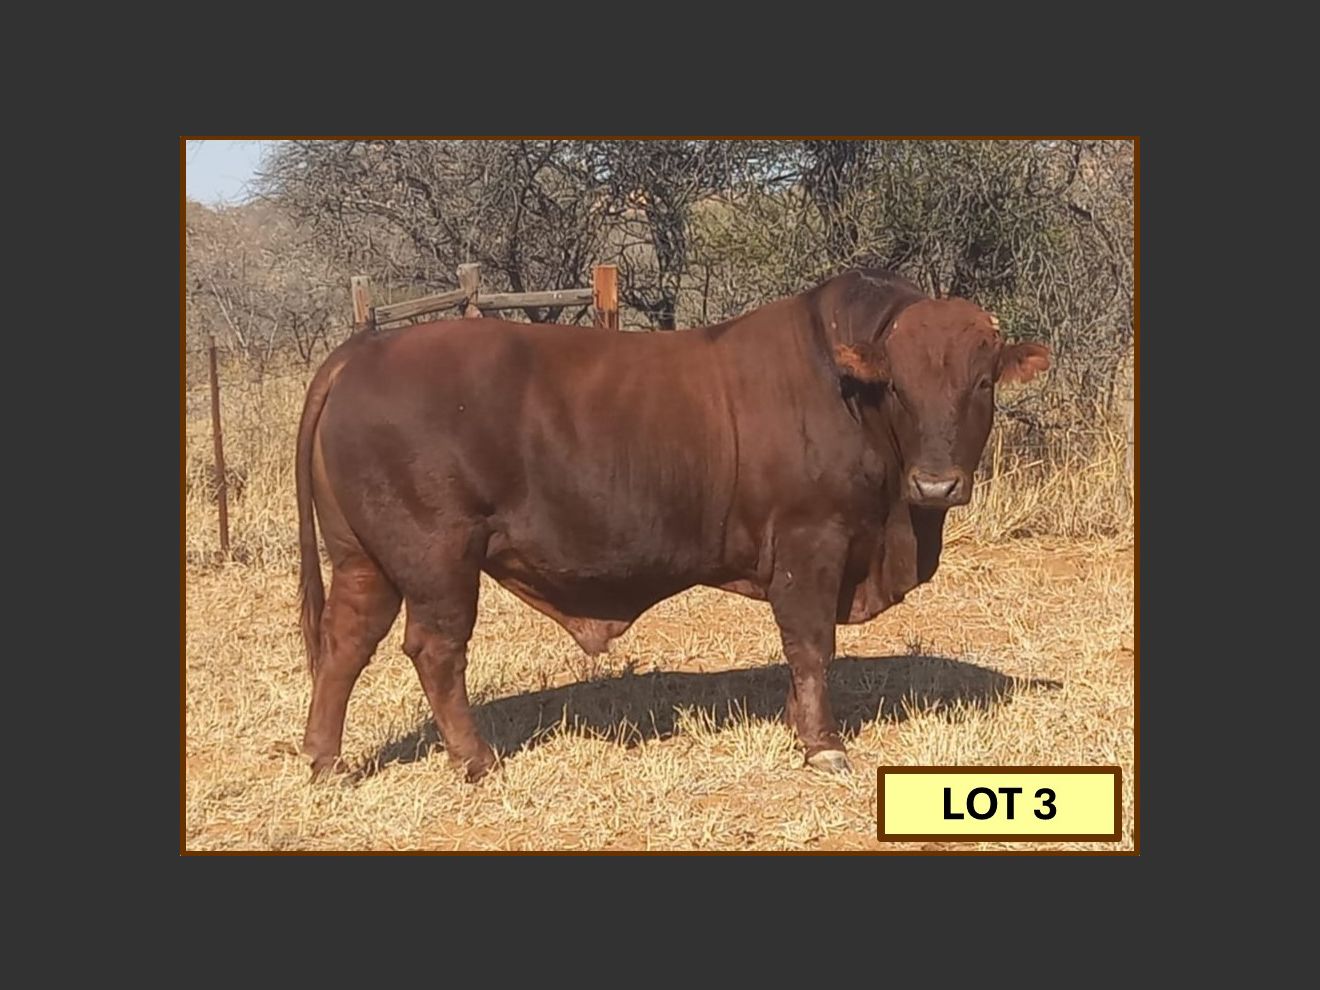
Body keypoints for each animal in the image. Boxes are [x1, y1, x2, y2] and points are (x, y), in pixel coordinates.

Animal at [294, 268, 1050, 782]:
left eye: (982, 383)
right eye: (897, 385)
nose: (935, 484)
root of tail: (363, 353)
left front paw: (796, 722)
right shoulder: (811, 542)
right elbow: (812, 644)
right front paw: (823, 744)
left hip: (364, 558)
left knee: (345, 643)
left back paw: (326, 759)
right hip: (436, 556)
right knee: (435, 650)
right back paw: (477, 759)